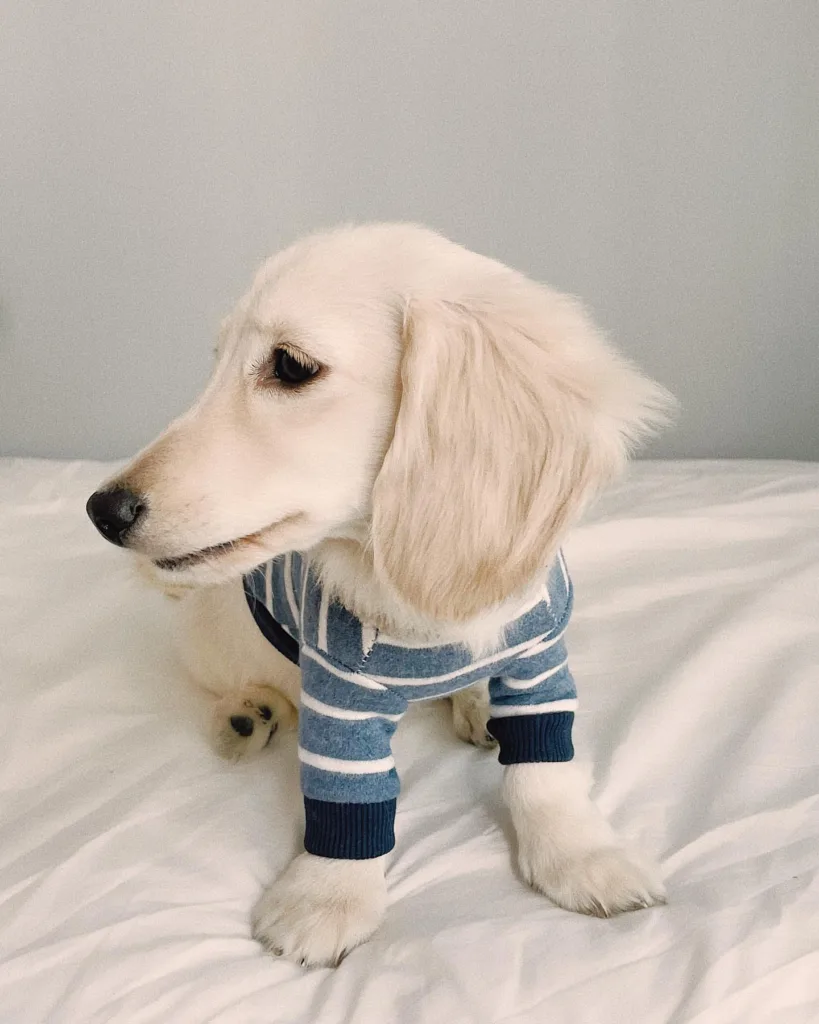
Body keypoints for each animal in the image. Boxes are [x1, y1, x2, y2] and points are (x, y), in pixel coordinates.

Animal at [86, 224, 671, 966]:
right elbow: (348, 801)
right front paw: (327, 898)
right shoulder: (340, 696)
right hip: (214, 635)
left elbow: (546, 771)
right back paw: (248, 714)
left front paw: (581, 855)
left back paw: (475, 704)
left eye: (291, 366)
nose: (103, 511)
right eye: (217, 363)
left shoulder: (540, 660)